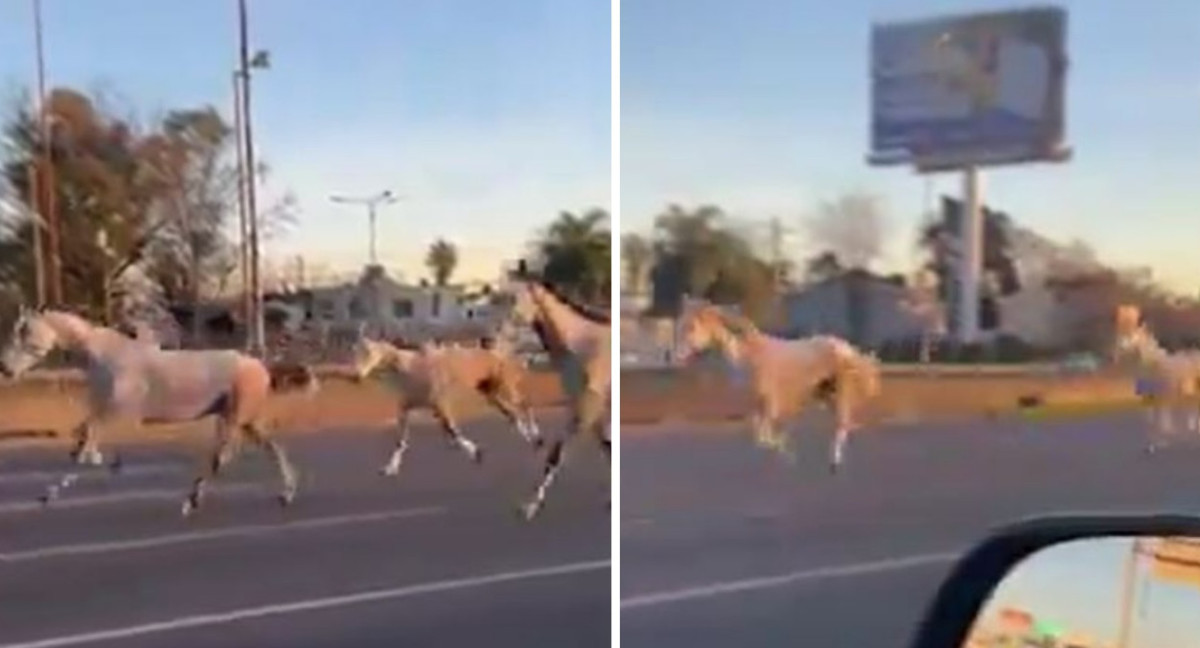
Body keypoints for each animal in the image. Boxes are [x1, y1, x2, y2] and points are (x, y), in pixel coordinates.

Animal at [0, 306, 319, 513]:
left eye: (24, 331)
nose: (5, 369)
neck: (106, 358)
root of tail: (260, 366)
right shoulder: (101, 412)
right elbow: (82, 444)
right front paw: (106, 464)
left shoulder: (116, 413)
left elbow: (85, 449)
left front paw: (48, 495)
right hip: (247, 419)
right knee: (272, 448)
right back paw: (285, 494)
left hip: (234, 417)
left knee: (222, 456)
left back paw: (191, 500)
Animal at [350, 333, 542, 475]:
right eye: (354, 352)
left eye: (369, 352)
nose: (356, 376)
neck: (412, 367)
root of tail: (502, 355)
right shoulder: (406, 408)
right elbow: (401, 441)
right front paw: (390, 468)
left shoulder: (440, 404)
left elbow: (453, 431)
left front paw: (476, 453)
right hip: (491, 395)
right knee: (513, 415)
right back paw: (531, 440)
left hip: (505, 389)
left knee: (525, 405)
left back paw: (537, 437)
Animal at [501, 267, 609, 520]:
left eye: (514, 301)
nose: (487, 340)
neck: (583, 347)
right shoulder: (588, 409)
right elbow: (608, 448)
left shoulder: (586, 409)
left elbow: (555, 455)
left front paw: (530, 507)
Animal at [676, 297, 883, 470]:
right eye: (681, 325)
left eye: (692, 327)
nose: (676, 356)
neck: (750, 358)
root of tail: (845, 347)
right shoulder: (758, 406)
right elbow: (760, 437)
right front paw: (787, 452)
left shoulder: (770, 403)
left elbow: (765, 436)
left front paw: (789, 455)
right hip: (826, 394)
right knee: (844, 424)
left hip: (840, 393)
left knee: (842, 424)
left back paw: (834, 463)